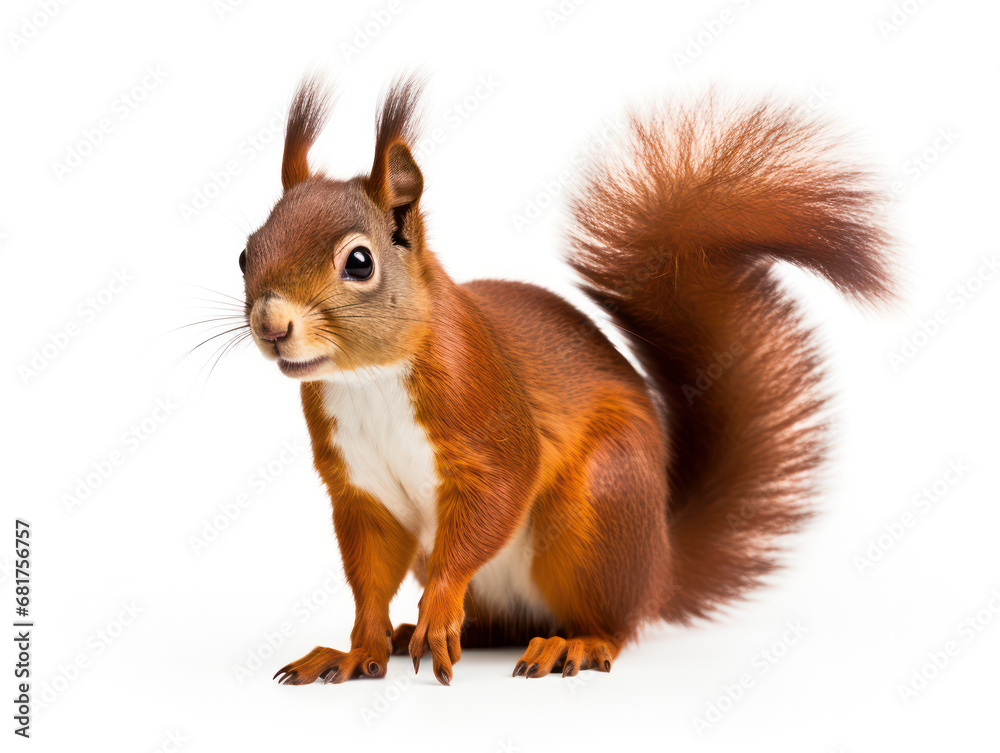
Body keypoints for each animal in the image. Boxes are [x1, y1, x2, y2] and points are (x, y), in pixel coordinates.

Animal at [237, 76, 893, 686]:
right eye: (245, 253)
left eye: (360, 262)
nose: (271, 325)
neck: (368, 381)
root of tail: (658, 566)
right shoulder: (361, 487)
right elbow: (370, 573)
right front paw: (358, 651)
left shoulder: (482, 406)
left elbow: (500, 491)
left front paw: (438, 607)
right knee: (503, 626)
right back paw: (417, 636)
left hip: (601, 505)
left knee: (611, 623)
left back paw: (569, 643)